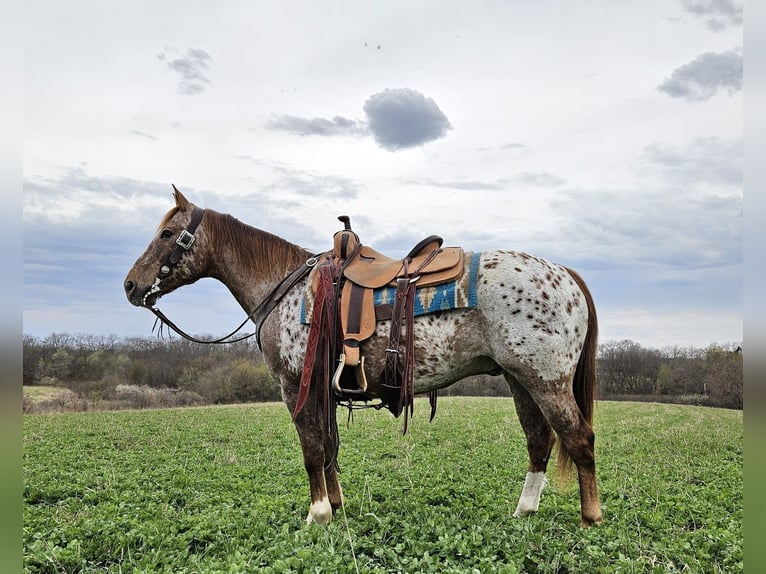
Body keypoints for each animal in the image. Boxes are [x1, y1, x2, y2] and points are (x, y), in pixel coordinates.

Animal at [123, 188, 608, 528]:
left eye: (167, 234)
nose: (130, 285)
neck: (286, 286)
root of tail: (566, 274)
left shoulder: (296, 388)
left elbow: (312, 450)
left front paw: (317, 514)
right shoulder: (322, 391)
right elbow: (328, 449)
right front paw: (336, 507)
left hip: (545, 380)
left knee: (579, 438)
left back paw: (590, 517)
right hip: (518, 378)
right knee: (540, 440)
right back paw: (524, 511)